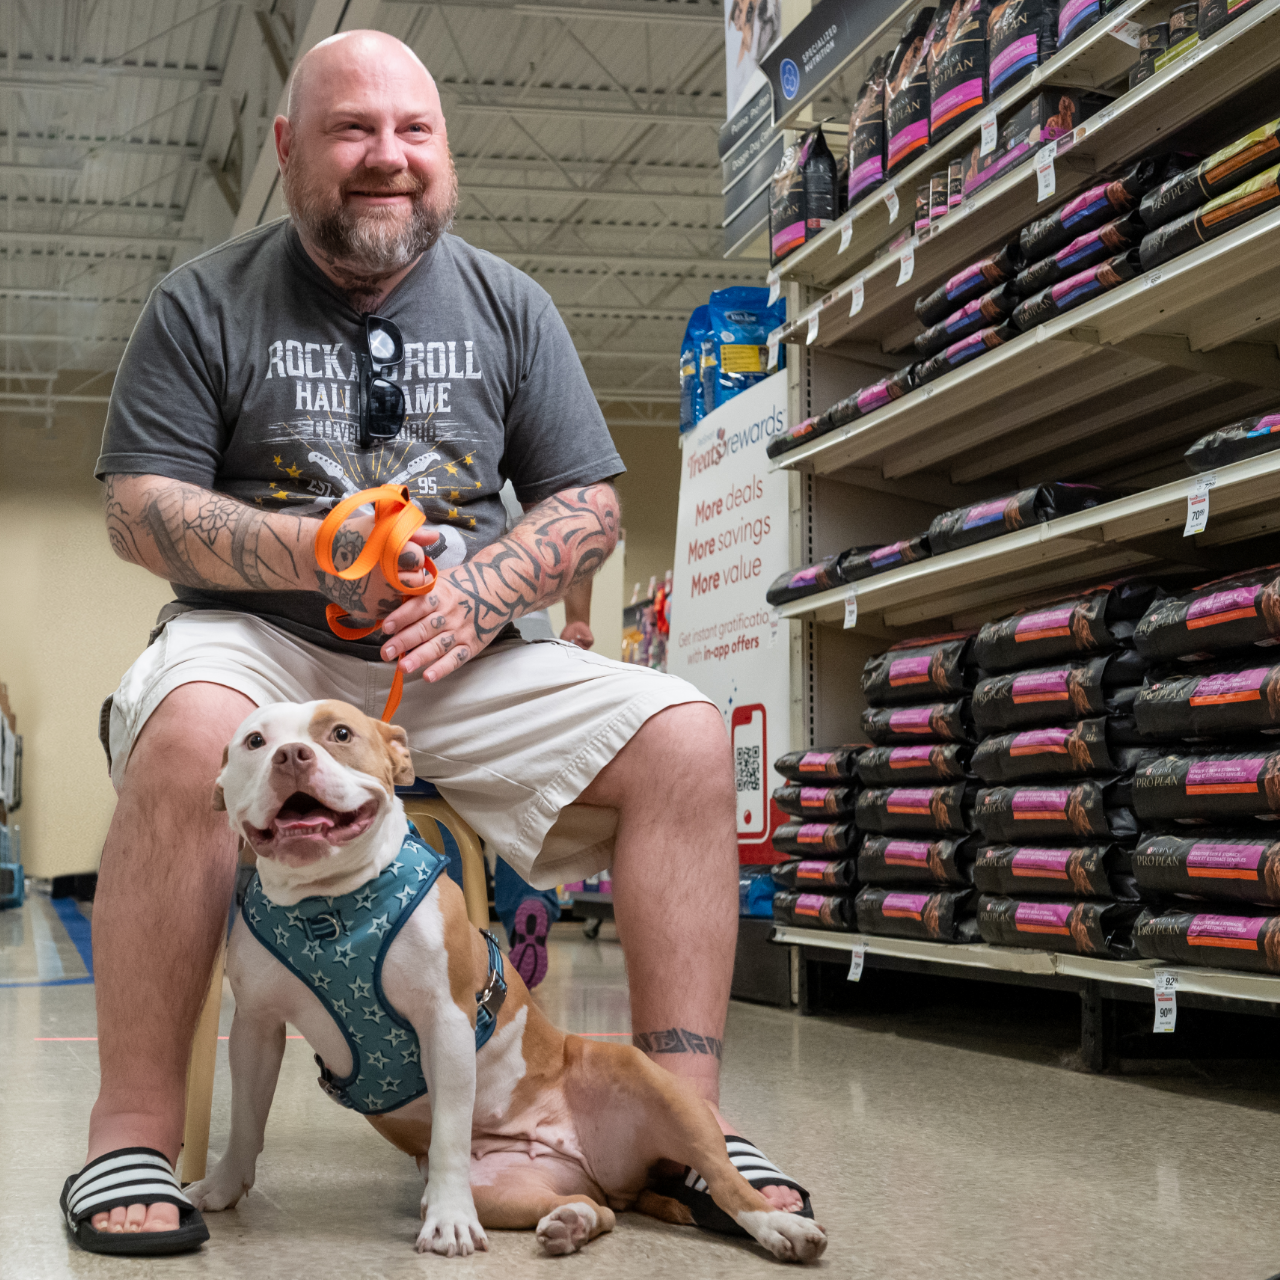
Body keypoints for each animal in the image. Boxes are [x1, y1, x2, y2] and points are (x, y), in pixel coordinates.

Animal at [189, 701, 829, 1259]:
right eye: (255, 741)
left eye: (340, 734)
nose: (291, 755)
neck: (329, 908)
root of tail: (599, 1166)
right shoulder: (256, 1029)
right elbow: (245, 1121)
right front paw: (221, 1189)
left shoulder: (445, 1023)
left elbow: (449, 1134)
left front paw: (450, 1223)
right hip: (506, 1187)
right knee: (600, 1211)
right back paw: (571, 1222)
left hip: (652, 1084)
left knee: (722, 1175)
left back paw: (777, 1223)